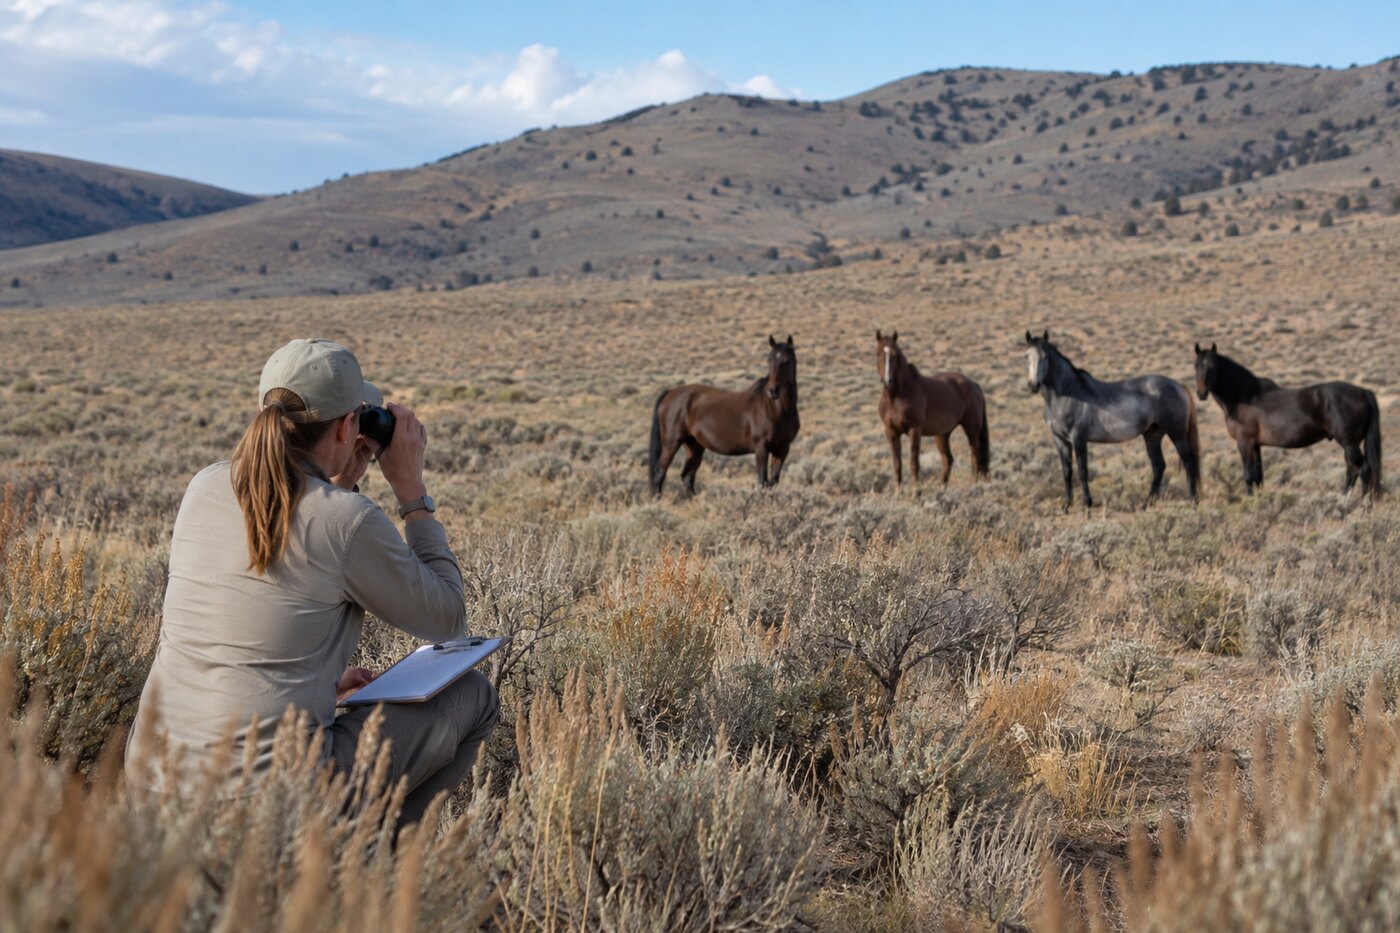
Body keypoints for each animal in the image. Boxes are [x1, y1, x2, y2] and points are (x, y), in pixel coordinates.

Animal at [649, 335, 800, 495]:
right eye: (769, 360)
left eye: (787, 361)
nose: (772, 391)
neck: (775, 409)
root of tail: (670, 393)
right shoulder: (761, 448)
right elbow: (762, 481)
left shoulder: (782, 449)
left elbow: (772, 482)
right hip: (671, 443)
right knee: (660, 473)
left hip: (694, 446)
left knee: (687, 476)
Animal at [875, 330, 989, 486]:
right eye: (878, 354)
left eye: (895, 355)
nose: (887, 381)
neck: (897, 396)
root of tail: (974, 384)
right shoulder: (891, 432)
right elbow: (897, 464)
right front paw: (898, 490)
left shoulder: (914, 431)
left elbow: (914, 463)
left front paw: (917, 490)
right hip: (943, 434)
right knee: (948, 459)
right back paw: (942, 487)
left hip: (971, 429)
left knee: (975, 456)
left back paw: (974, 485)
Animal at [1026, 330, 1200, 509]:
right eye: (1026, 356)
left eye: (1045, 357)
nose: (1033, 385)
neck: (1067, 395)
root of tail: (1178, 386)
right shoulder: (1060, 440)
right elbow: (1067, 472)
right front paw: (1066, 506)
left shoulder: (1078, 439)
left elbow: (1082, 471)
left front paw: (1087, 503)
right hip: (1153, 435)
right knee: (1159, 466)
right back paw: (1147, 504)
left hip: (1177, 434)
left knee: (1189, 463)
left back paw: (1193, 501)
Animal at [1194, 343, 1382, 499]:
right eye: (1195, 365)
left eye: (1212, 366)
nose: (1201, 393)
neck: (1244, 397)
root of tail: (1362, 392)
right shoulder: (1256, 444)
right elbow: (1258, 476)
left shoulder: (1244, 443)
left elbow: (1248, 475)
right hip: (1349, 445)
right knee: (1353, 471)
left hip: (1349, 444)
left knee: (1363, 469)